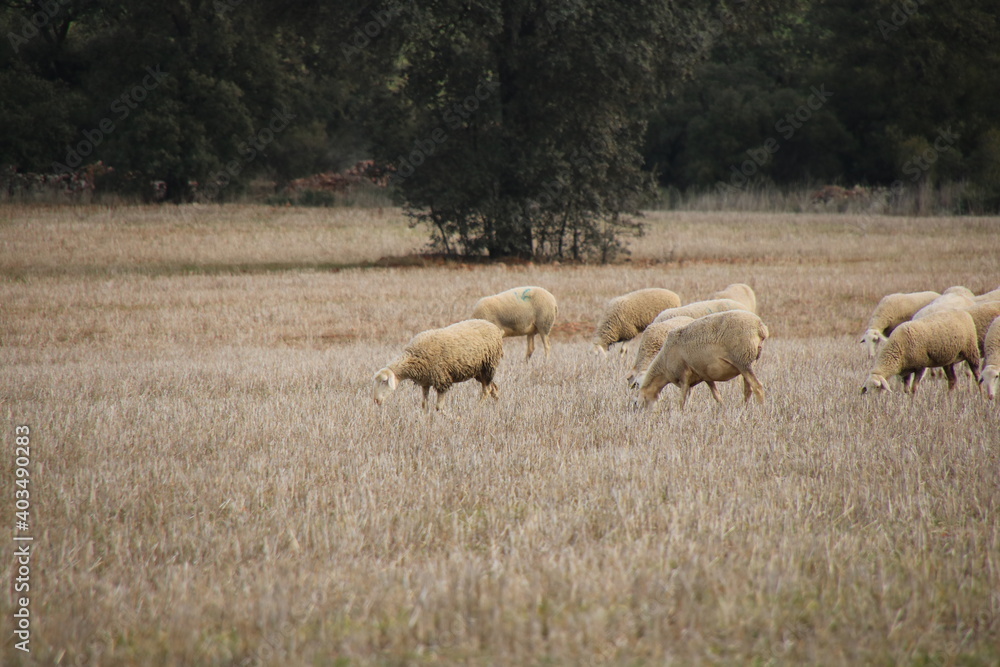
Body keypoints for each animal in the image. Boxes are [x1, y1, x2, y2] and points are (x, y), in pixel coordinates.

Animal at [373, 319, 504, 412]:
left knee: (487, 390)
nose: (376, 401)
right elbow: (424, 405)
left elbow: (439, 407)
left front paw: (453, 419)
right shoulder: (425, 382)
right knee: (494, 388)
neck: (413, 358)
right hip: (479, 371)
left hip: (488, 367)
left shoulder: (442, 380)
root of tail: (494, 326)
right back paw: (497, 407)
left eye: (384, 381)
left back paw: (476, 409)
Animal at [638, 310, 769, 410]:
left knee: (758, 387)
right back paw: (744, 409)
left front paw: (680, 414)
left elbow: (681, 401)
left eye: (637, 403)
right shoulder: (705, 375)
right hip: (749, 363)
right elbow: (717, 396)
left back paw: (761, 411)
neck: (664, 365)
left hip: (743, 361)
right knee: (748, 390)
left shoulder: (683, 376)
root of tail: (760, 327)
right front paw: (723, 410)